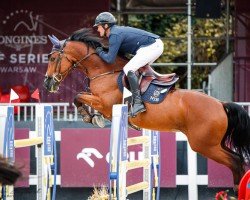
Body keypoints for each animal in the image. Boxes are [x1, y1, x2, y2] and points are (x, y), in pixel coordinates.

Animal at [44, 27, 250, 189]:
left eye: (53, 58)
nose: (47, 83)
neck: (104, 71)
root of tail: (221, 104)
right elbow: (80, 97)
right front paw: (94, 117)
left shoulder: (106, 103)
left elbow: (78, 97)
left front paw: (89, 116)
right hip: (215, 143)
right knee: (239, 160)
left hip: (205, 145)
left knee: (235, 161)